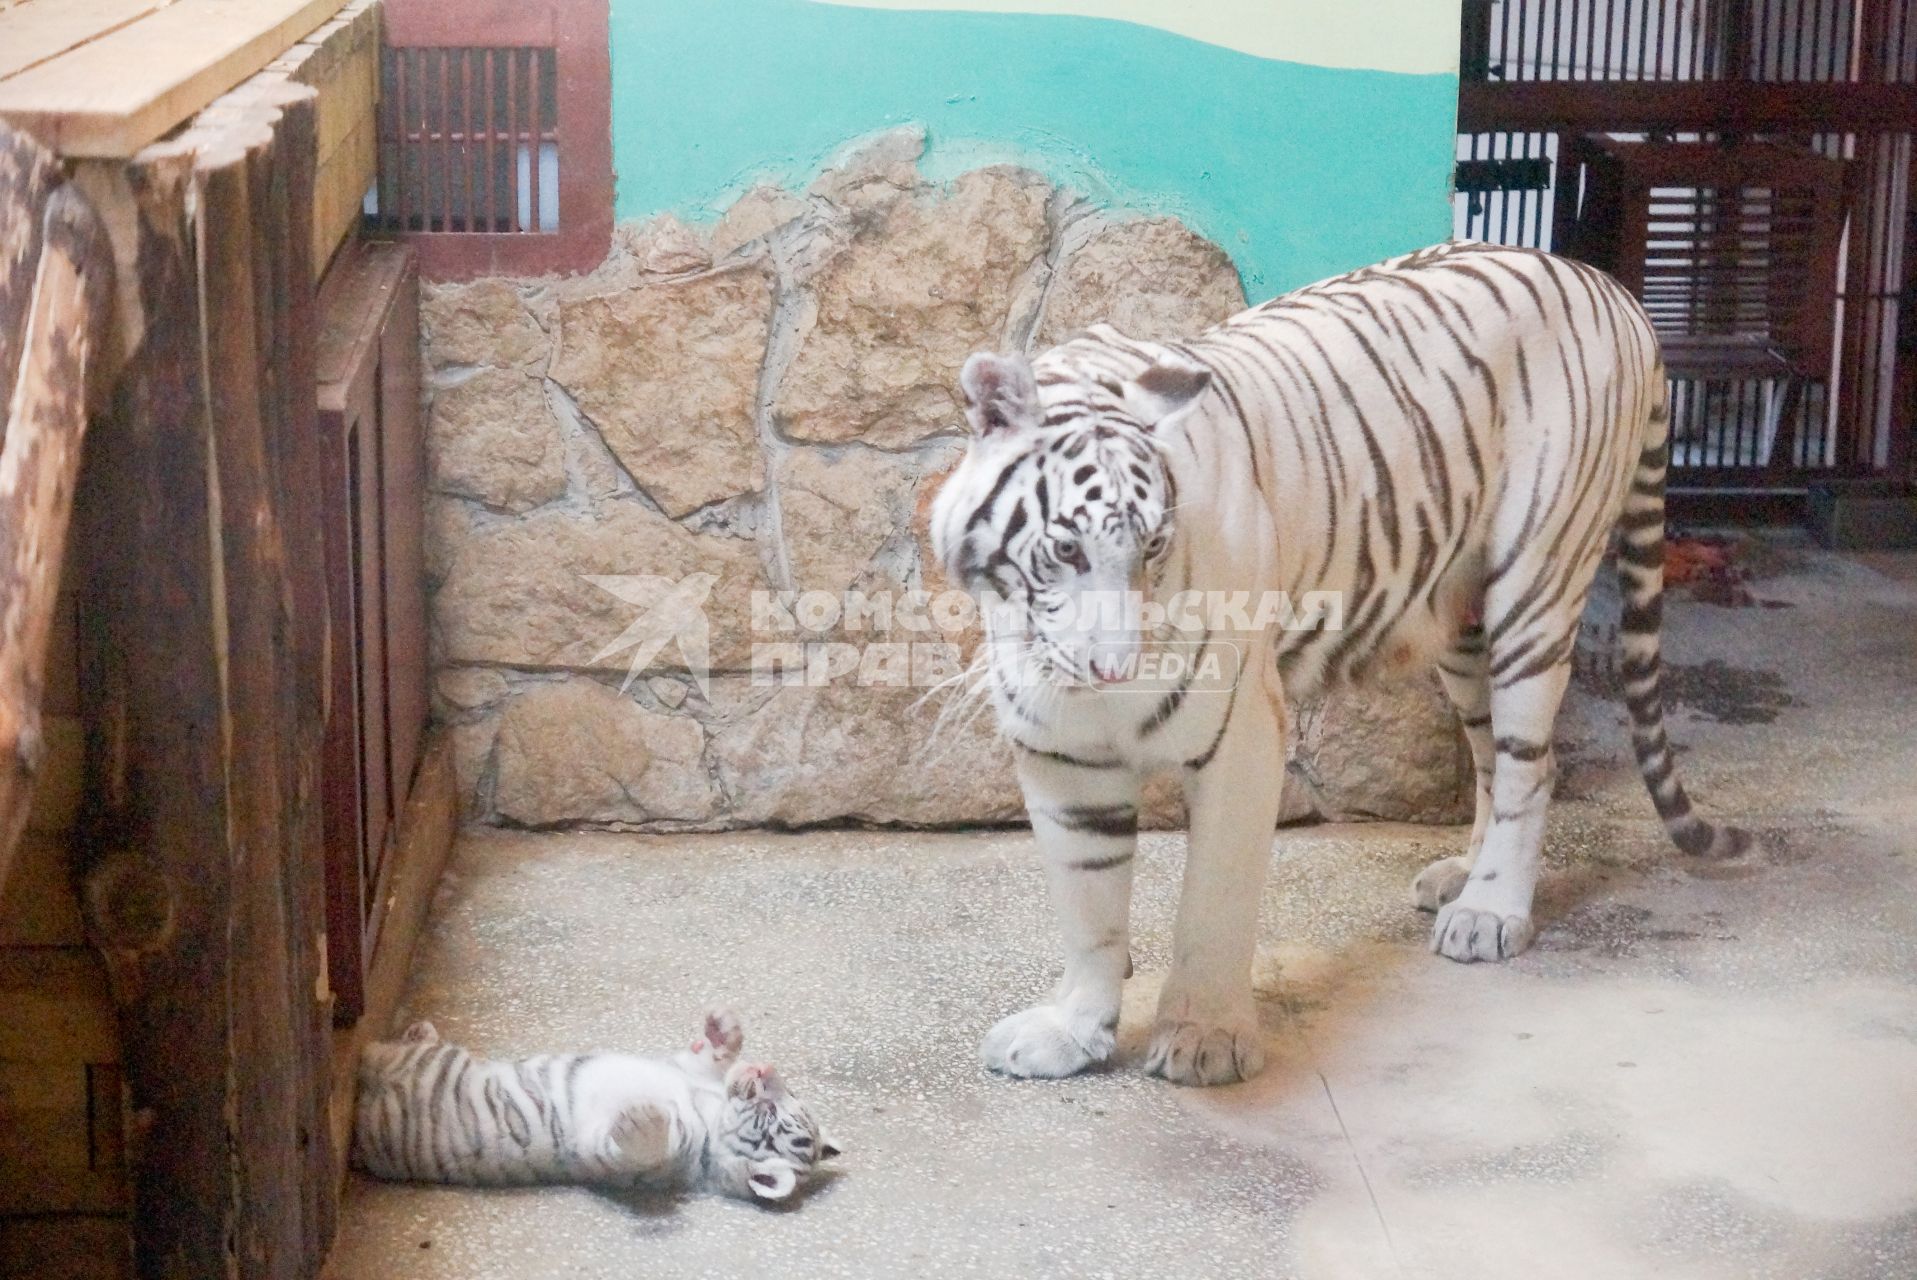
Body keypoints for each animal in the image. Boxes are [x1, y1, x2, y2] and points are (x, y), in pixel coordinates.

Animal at [931, 234, 1755, 1088]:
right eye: (1066, 549)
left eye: (1152, 545)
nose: (1113, 673)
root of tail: (1611, 289)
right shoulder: (1061, 755)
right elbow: (1087, 903)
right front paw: (1073, 1027)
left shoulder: (1240, 736)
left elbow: (1212, 904)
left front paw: (1203, 1039)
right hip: (1461, 622)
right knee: (1491, 755)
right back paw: (1463, 877)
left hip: (1535, 581)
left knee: (1531, 763)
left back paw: (1489, 910)